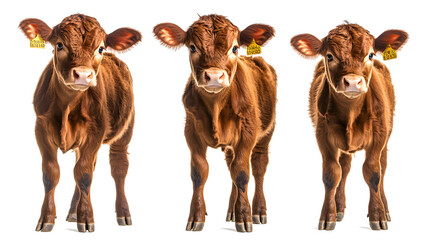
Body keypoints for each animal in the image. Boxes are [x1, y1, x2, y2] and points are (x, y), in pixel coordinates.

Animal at [19, 14, 140, 232]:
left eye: (100, 48)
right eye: (59, 44)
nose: (83, 75)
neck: (68, 106)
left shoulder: (95, 132)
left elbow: (83, 174)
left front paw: (86, 218)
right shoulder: (41, 129)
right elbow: (51, 173)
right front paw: (47, 218)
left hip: (125, 130)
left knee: (118, 167)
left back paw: (123, 213)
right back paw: (73, 212)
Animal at [152, 14, 276, 232]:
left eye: (234, 48)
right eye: (192, 47)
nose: (214, 77)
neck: (217, 107)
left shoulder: (248, 134)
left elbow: (242, 173)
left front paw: (245, 217)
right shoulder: (191, 132)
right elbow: (199, 172)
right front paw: (196, 217)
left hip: (266, 134)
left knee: (258, 167)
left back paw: (259, 211)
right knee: (231, 167)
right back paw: (232, 211)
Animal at [290, 23, 406, 231]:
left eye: (370, 55)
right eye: (329, 56)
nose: (352, 82)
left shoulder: (378, 139)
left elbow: (373, 173)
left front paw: (377, 215)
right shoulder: (324, 139)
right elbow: (331, 175)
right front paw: (329, 215)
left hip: (387, 136)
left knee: (383, 167)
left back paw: (385, 208)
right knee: (344, 168)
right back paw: (340, 207)